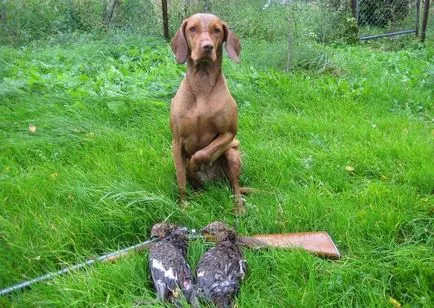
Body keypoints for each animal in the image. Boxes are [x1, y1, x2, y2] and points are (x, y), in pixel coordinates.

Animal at [169, 12, 244, 214]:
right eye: (192, 28)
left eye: (217, 30)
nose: (207, 47)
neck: (202, 84)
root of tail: (215, 184)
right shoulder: (176, 143)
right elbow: (181, 179)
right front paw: (183, 206)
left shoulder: (228, 134)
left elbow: (202, 153)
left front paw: (196, 164)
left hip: (233, 154)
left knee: (235, 186)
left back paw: (239, 207)